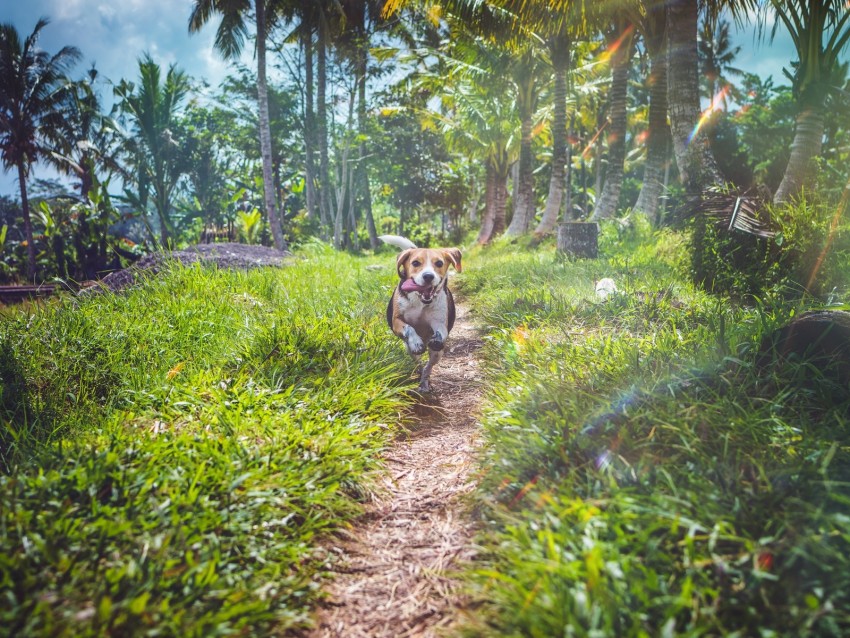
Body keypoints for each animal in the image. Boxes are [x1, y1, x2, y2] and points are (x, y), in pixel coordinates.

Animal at [380, 236, 460, 392]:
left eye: (439, 263)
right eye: (415, 263)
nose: (428, 276)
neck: (420, 301)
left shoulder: (439, 322)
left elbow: (441, 331)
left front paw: (437, 338)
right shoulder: (397, 321)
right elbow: (409, 328)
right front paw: (416, 342)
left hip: (437, 354)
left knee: (429, 366)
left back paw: (425, 382)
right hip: (409, 349)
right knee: (418, 362)